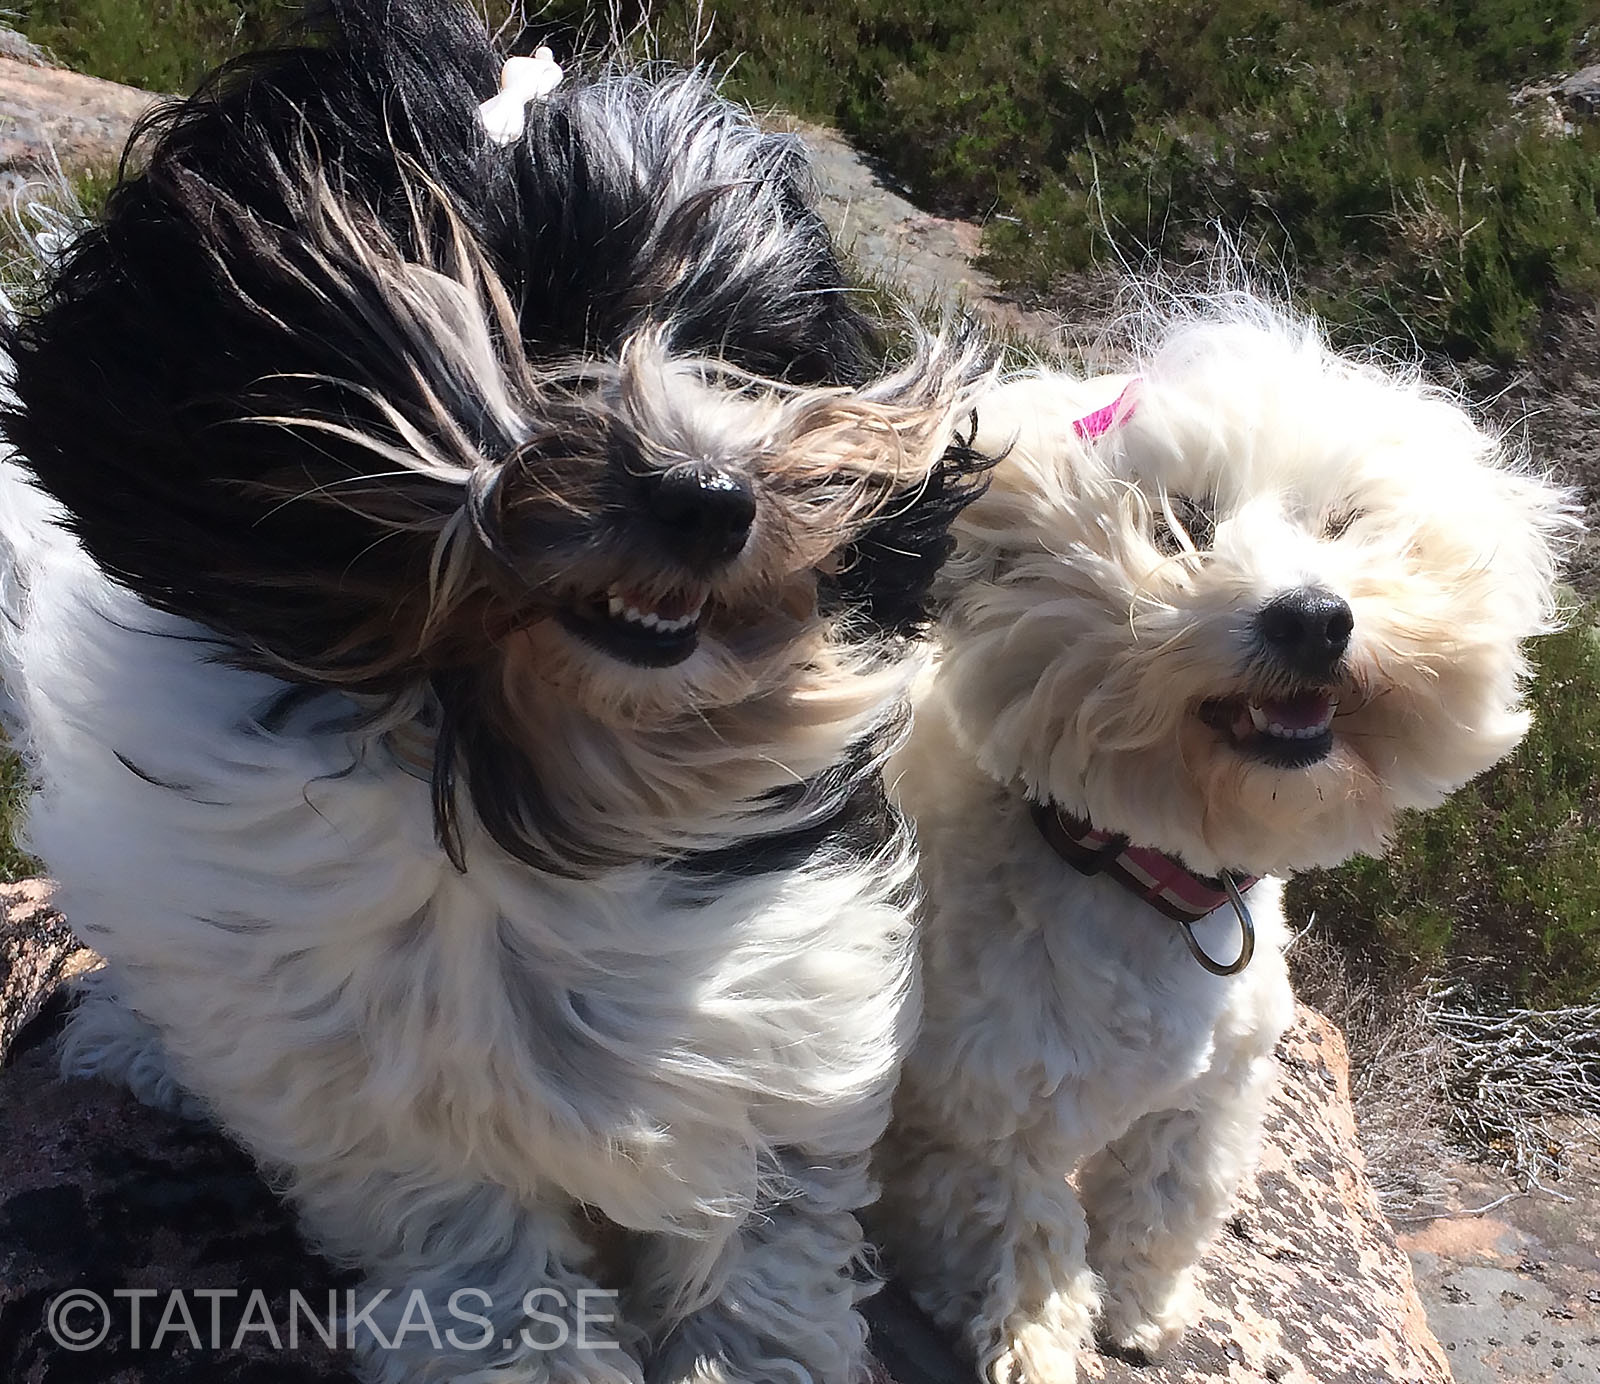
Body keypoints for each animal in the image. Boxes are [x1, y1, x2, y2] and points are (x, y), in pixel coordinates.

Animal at [0, 3, 992, 1381]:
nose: (710, 498)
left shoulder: (789, 996)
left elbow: (768, 1229)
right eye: (538, 308)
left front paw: (753, 1348)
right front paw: (525, 1349)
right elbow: (468, 1233)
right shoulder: (364, 1075)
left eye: (748, 356)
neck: (532, 748)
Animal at [870, 290, 1572, 1383]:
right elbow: (1017, 1233)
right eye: (1184, 523)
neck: (1142, 874)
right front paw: (1036, 1339)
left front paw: (1145, 1311)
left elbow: (1166, 1198)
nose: (1315, 619)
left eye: (1343, 523)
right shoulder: (982, 1111)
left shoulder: (1215, 1091)